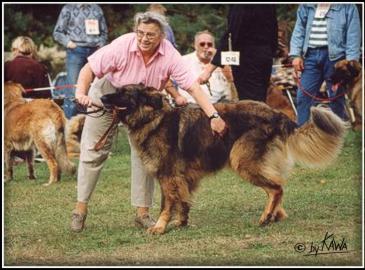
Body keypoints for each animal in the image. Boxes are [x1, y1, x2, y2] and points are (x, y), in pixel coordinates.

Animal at [101, 84, 346, 234]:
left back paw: (266, 216)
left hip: (241, 159)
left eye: (123, 92)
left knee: (276, 188)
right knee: (276, 186)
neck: (153, 117)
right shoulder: (182, 178)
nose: (102, 97)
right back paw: (276, 215)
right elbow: (184, 201)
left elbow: (167, 205)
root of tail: (276, 115)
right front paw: (182, 222)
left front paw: (160, 227)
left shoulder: (168, 176)